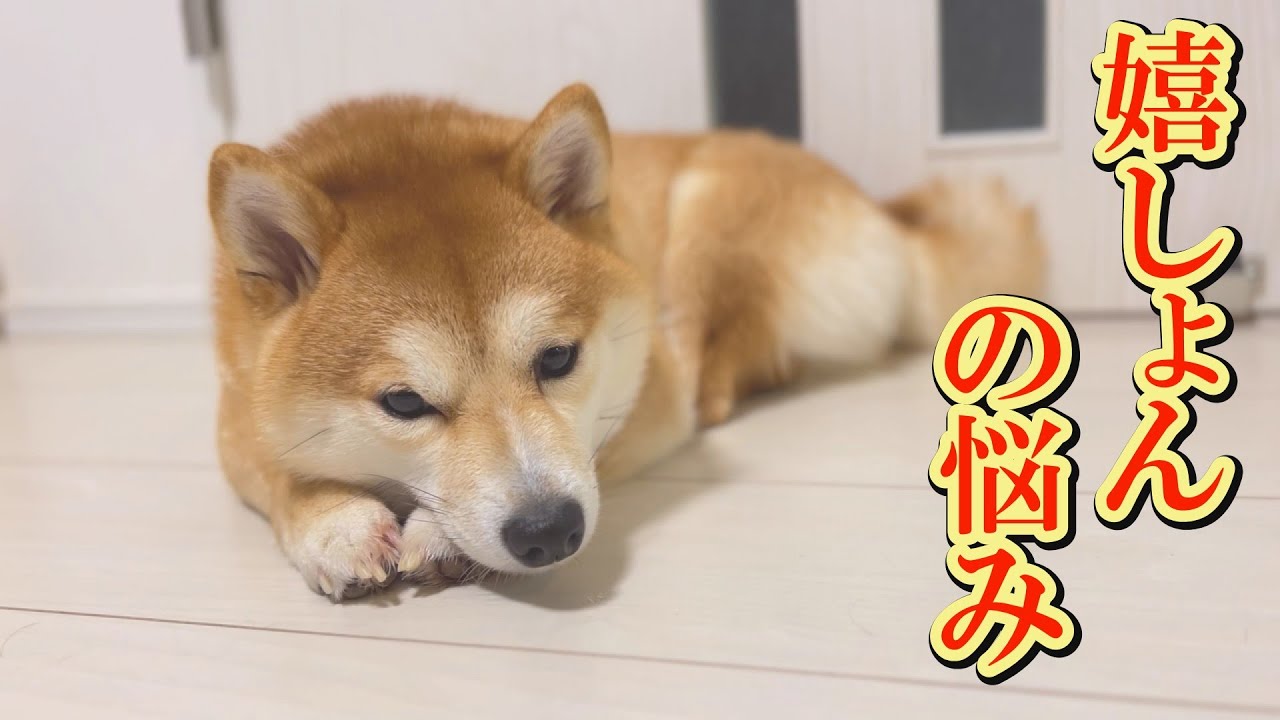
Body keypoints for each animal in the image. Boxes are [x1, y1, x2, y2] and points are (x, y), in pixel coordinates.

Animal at [208, 83, 1043, 601]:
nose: (547, 532)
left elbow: (596, 450)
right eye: (405, 403)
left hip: (709, 215)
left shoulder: (651, 394)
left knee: (727, 370)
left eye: (557, 359)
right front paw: (333, 523)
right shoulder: (236, 414)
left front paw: (438, 534)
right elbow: (274, 473)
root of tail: (888, 216)